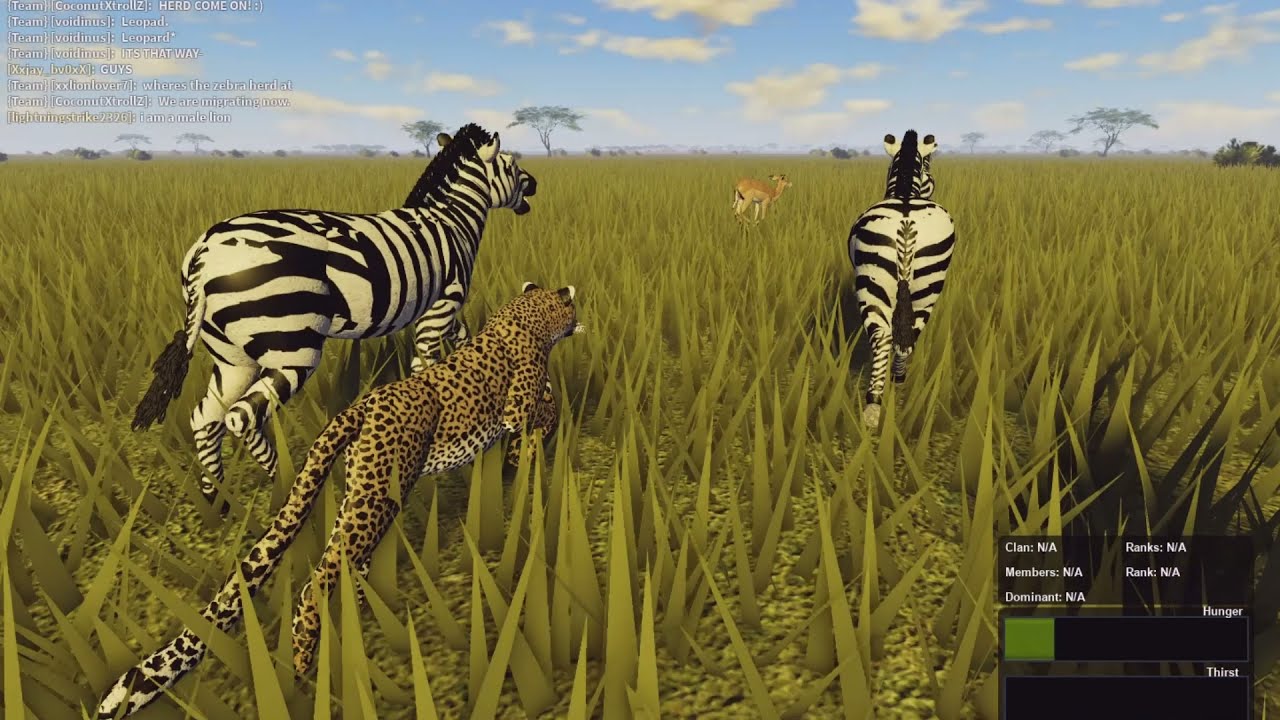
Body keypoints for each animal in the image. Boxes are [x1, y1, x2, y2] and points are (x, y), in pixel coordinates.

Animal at [96, 282, 584, 719]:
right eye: (571, 306)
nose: (580, 318)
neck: (524, 319)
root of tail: (358, 407)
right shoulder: (515, 405)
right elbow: (536, 411)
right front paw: (535, 442)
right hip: (377, 499)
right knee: (317, 580)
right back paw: (303, 665)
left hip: (359, 492)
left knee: (341, 559)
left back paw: (361, 612)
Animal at [129, 123, 537, 512]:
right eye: (512, 165)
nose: (535, 183)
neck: (450, 221)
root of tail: (204, 253)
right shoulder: (441, 307)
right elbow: (429, 367)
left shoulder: (442, 314)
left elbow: (461, 341)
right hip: (293, 347)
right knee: (241, 417)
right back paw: (293, 492)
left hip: (232, 356)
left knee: (205, 417)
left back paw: (217, 498)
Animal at [847, 129, 955, 429]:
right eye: (929, 165)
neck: (905, 192)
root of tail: (906, 224)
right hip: (926, 291)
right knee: (906, 336)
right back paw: (896, 380)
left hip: (876, 283)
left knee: (884, 336)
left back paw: (874, 404)